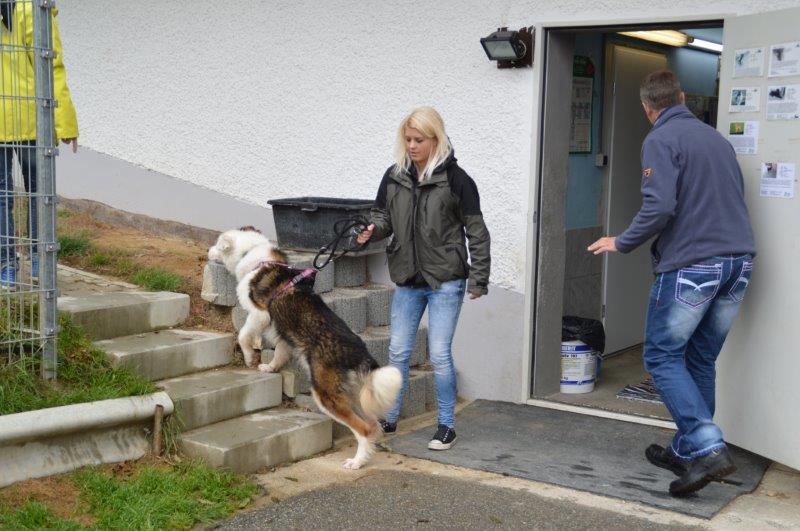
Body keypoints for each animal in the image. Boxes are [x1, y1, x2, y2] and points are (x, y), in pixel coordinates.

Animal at [207, 227, 292, 370]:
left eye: (219, 247)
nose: (207, 250)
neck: (249, 251)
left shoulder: (260, 315)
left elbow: (243, 335)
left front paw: (249, 358)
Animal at [248, 250, 402, 470]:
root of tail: (359, 352)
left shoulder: (262, 311)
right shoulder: (285, 335)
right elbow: (280, 353)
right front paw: (270, 367)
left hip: (327, 396)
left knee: (363, 428)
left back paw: (356, 462)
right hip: (352, 396)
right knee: (373, 425)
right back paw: (364, 456)